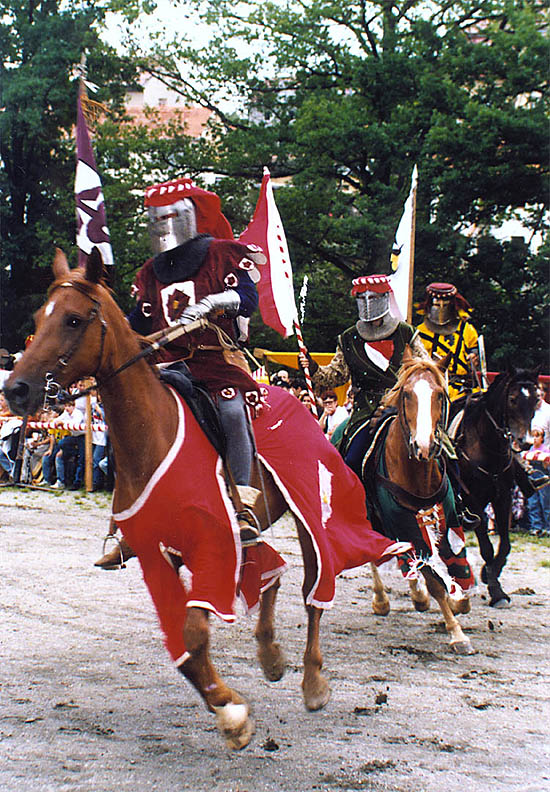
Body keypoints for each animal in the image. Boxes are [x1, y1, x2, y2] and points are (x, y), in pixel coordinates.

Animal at [364, 350, 476, 652]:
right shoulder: (403, 522)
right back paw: (382, 600)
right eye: (406, 394)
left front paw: (459, 599)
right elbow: (434, 580)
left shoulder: (449, 517)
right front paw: (457, 634)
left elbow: (456, 561)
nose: (424, 446)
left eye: (439, 394)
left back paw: (418, 596)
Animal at [450, 366, 540, 608]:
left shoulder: (503, 498)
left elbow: (505, 545)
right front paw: (496, 590)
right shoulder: (473, 502)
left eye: (537, 399)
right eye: (512, 399)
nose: (525, 442)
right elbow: (487, 548)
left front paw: (490, 574)